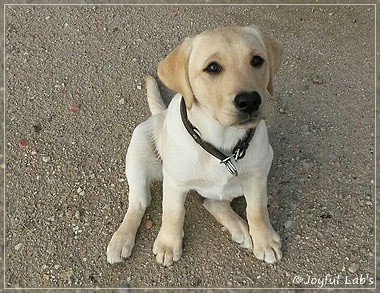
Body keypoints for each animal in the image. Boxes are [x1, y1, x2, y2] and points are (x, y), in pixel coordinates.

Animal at [106, 25, 282, 266]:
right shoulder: (174, 183)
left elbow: (257, 210)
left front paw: (264, 240)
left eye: (257, 60)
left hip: (256, 169)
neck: (221, 141)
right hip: (138, 152)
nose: (250, 101)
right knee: (139, 202)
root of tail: (159, 114)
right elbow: (172, 214)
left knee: (213, 202)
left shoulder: (256, 177)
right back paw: (121, 238)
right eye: (213, 68)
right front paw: (168, 244)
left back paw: (239, 228)